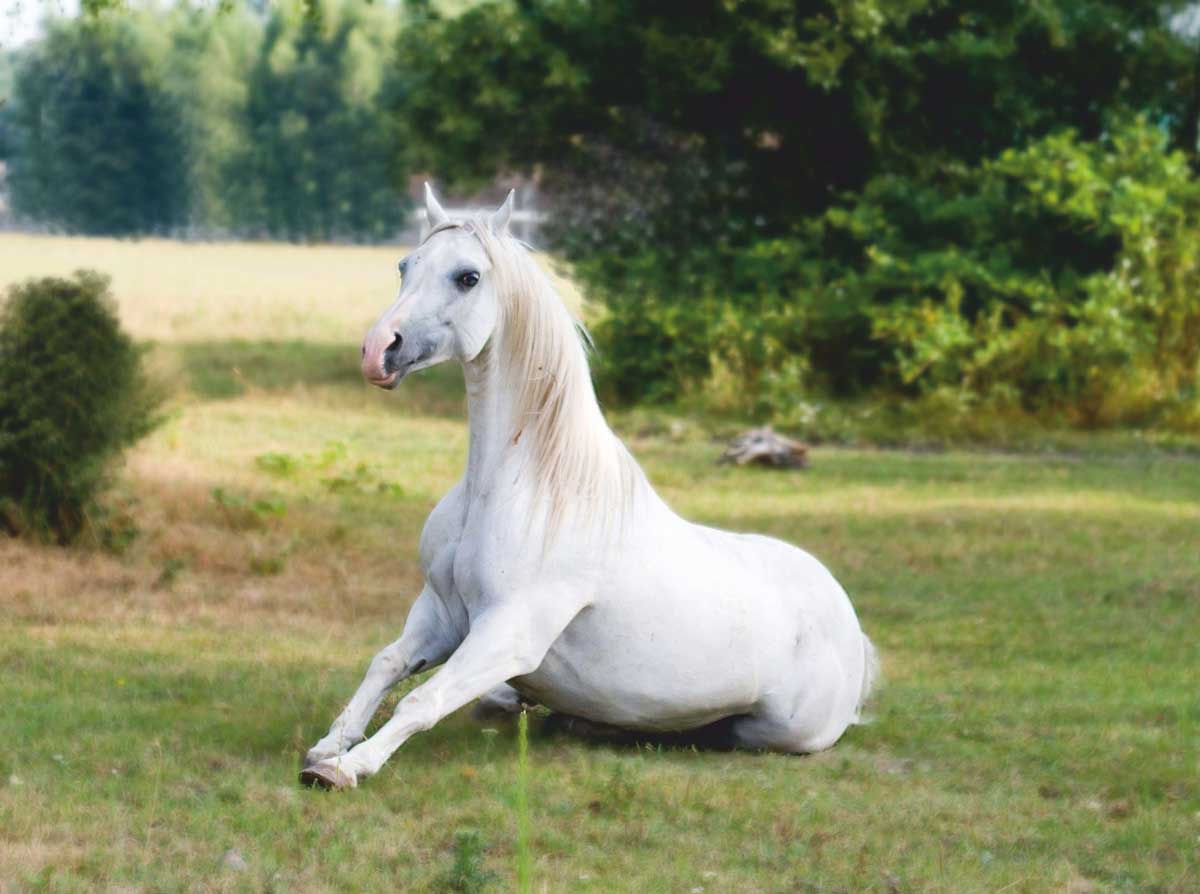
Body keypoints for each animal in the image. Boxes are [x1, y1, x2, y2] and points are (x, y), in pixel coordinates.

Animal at [300, 185, 878, 789]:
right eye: (405, 266)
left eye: (468, 277)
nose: (378, 351)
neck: (516, 487)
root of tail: (850, 627)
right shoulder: (439, 611)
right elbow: (386, 664)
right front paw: (327, 746)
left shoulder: (508, 632)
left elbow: (422, 701)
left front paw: (346, 768)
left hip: (780, 731)